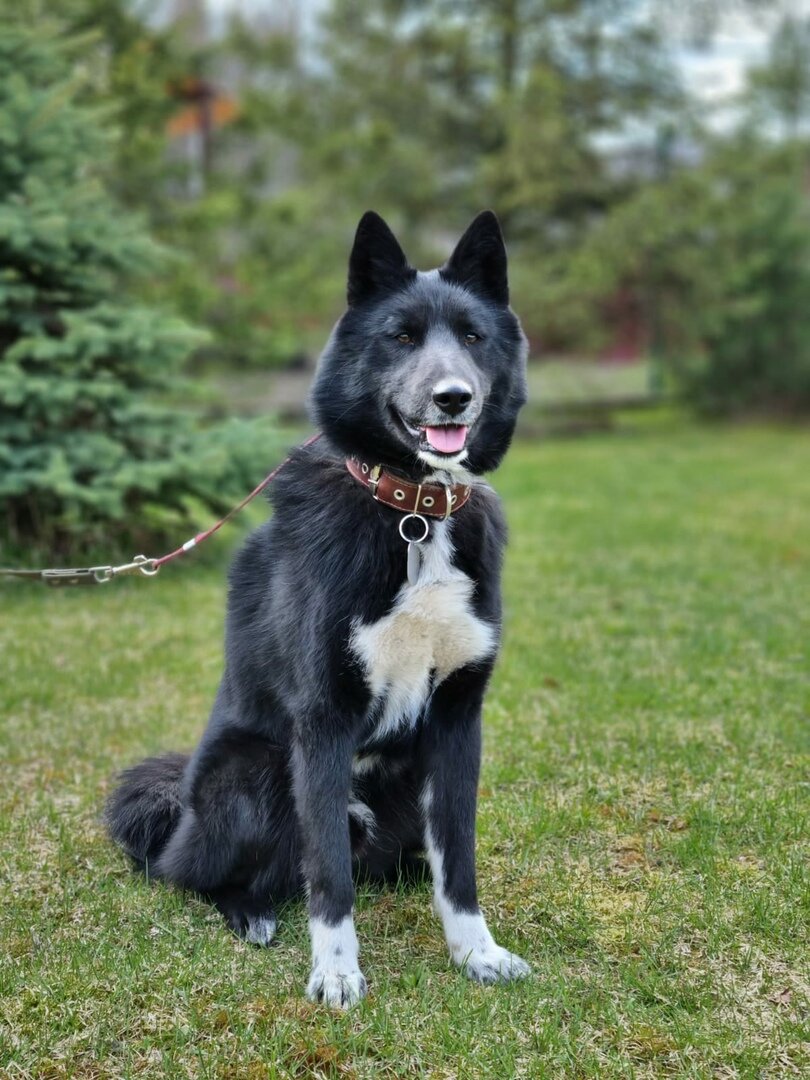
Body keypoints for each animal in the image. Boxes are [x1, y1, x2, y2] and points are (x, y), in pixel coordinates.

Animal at [108, 208, 535, 1002]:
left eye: (472, 336)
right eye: (401, 336)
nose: (453, 397)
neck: (412, 513)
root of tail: (180, 811)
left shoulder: (459, 721)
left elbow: (459, 861)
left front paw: (476, 951)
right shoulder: (324, 721)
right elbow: (327, 875)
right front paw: (336, 973)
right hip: (255, 776)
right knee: (205, 876)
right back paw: (249, 912)